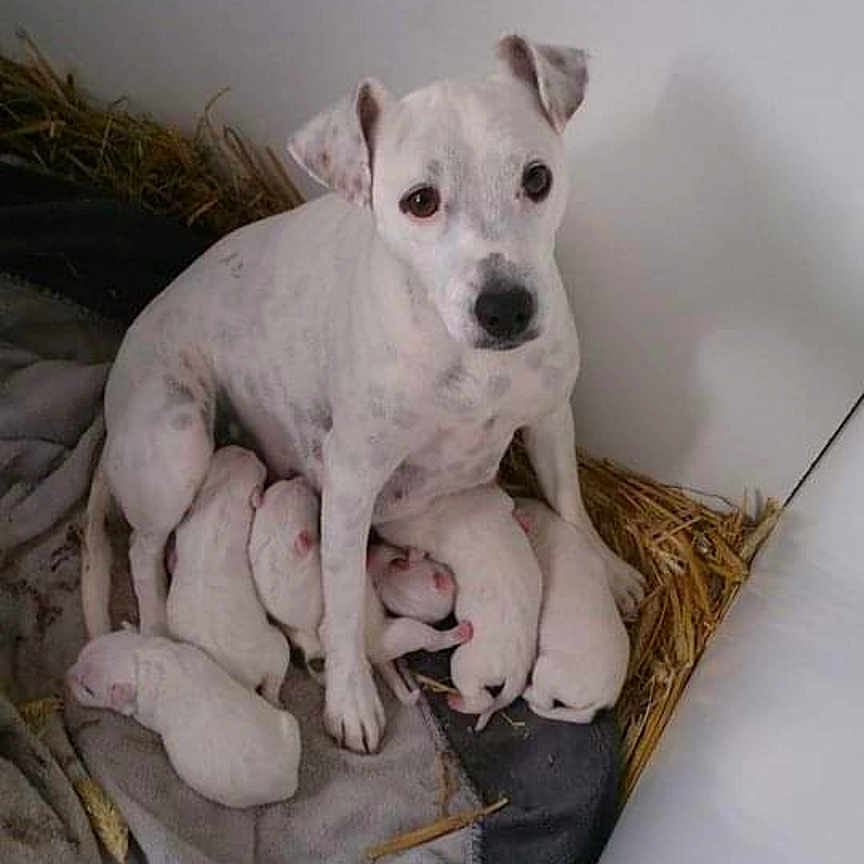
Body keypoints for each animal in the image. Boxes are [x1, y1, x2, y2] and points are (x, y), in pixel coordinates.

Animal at [66, 631, 301, 808]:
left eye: (88, 690)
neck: (140, 660)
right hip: (290, 724)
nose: (67, 675)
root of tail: (291, 779)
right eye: (81, 654)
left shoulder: (144, 710)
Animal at [166, 446, 289, 705]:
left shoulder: (186, 524)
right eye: (257, 462)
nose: (246, 448)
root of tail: (242, 681)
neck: (223, 493)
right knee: (274, 675)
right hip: (274, 649)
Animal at [248, 478, 471, 704]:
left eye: (283, 486)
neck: (277, 554)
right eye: (306, 499)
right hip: (402, 633)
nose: (299, 478)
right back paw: (457, 633)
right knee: (429, 640)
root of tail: (373, 656)